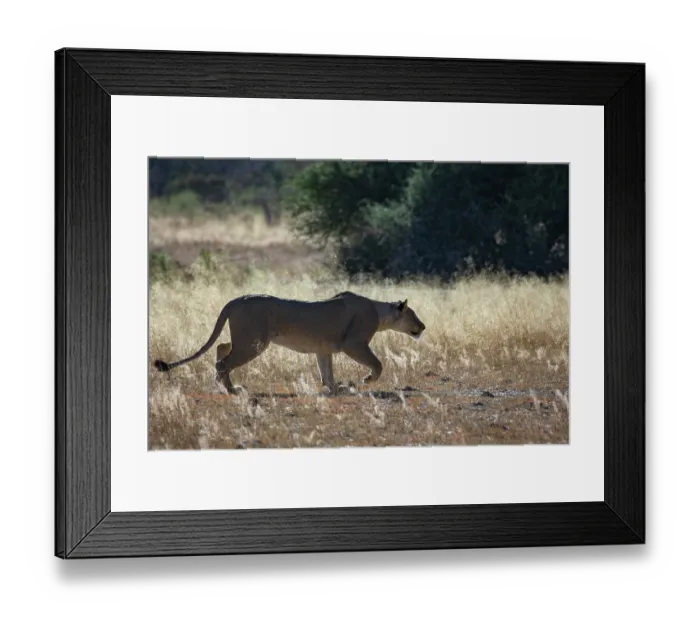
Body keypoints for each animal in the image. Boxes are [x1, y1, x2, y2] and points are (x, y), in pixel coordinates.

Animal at [154, 291, 426, 395]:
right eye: (413, 315)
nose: (423, 327)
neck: (380, 311)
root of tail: (237, 299)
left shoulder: (323, 349)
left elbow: (326, 371)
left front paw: (335, 388)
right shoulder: (354, 344)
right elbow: (378, 364)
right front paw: (366, 380)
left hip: (246, 339)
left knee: (221, 349)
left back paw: (222, 385)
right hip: (254, 342)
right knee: (223, 361)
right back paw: (232, 390)